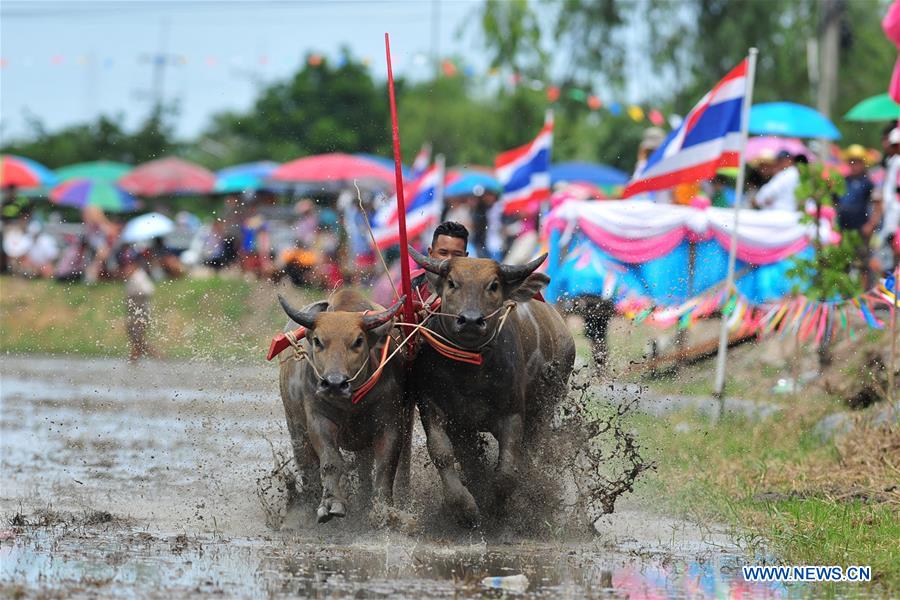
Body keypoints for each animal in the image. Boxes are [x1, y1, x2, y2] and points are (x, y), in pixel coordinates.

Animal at [277, 289, 410, 524]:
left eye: (358, 341)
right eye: (318, 341)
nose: (334, 383)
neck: (351, 402)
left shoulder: (390, 421)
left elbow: (386, 465)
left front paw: (384, 509)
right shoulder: (318, 419)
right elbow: (330, 461)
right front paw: (331, 503)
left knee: (365, 468)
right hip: (296, 429)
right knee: (307, 465)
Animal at [407, 248, 576, 526]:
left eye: (494, 285)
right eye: (452, 283)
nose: (471, 320)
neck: (468, 371)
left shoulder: (513, 415)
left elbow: (508, 469)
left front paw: (496, 508)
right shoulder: (435, 409)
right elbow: (442, 453)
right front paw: (465, 508)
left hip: (543, 410)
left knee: (531, 452)